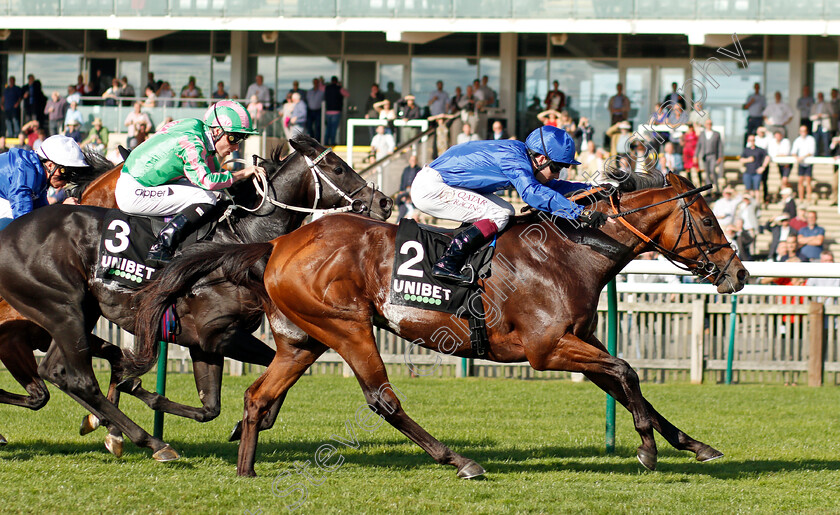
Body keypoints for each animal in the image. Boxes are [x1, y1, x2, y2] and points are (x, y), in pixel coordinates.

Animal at [136, 171, 748, 478]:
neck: (567, 251)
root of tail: (278, 243)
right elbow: (627, 372)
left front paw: (692, 445)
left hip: (303, 339)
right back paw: (460, 461)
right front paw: (648, 450)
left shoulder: (576, 338)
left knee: (259, 396)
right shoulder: (547, 348)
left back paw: (246, 470)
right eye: (707, 219)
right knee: (382, 399)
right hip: (348, 328)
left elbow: (625, 380)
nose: (738, 272)